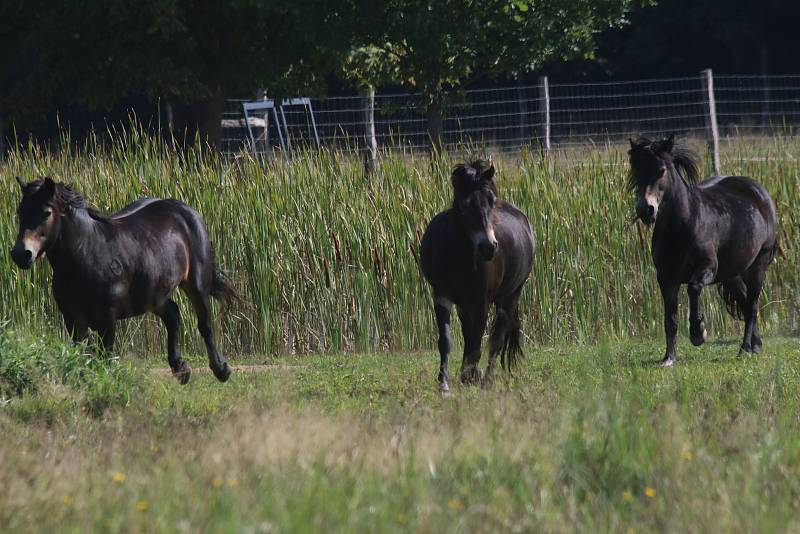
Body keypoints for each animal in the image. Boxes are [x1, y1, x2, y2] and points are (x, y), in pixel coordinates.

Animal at [10, 179, 238, 386]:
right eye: (20, 211)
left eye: (46, 213)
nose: (21, 254)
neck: (86, 253)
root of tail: (187, 210)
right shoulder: (73, 318)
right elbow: (83, 356)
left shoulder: (107, 319)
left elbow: (105, 357)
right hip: (153, 295)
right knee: (173, 314)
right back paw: (181, 370)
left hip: (196, 283)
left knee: (205, 323)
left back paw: (221, 370)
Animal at [418, 161, 536, 392]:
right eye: (464, 206)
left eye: (491, 201)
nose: (488, 247)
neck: (459, 256)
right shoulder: (442, 295)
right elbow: (447, 340)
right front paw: (444, 384)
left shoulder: (482, 301)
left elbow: (478, 344)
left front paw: (470, 376)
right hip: (465, 303)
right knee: (468, 332)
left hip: (510, 297)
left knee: (497, 339)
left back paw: (486, 380)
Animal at [628, 136, 780, 366]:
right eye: (636, 169)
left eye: (661, 170)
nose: (646, 209)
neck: (683, 225)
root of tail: (760, 193)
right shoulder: (665, 277)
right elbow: (670, 318)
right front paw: (669, 357)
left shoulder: (707, 267)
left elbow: (693, 288)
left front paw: (698, 332)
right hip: (731, 274)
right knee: (745, 302)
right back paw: (756, 344)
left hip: (758, 266)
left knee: (752, 305)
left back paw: (745, 348)